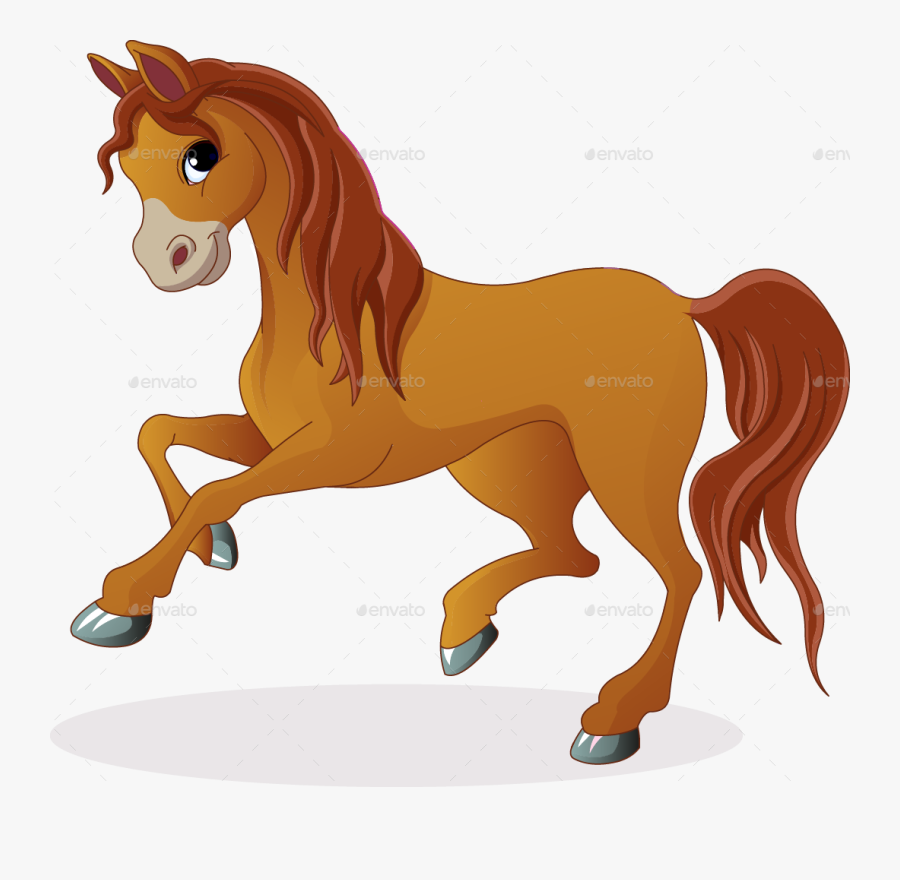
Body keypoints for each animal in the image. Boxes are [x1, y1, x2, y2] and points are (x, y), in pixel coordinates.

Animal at [73, 41, 850, 766]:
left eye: (200, 156)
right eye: (126, 163)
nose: (163, 261)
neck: (329, 321)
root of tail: (687, 304)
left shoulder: (335, 457)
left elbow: (217, 488)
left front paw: (120, 603)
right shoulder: (270, 439)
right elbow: (158, 433)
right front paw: (212, 549)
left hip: (621, 470)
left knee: (677, 572)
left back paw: (612, 718)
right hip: (506, 467)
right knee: (575, 556)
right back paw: (465, 628)